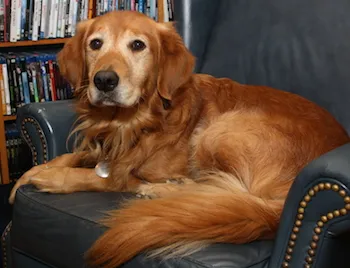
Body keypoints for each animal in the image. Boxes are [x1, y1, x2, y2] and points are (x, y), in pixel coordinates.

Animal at [8, 10, 350, 268]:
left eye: (138, 45)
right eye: (95, 43)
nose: (104, 80)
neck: (131, 122)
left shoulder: (125, 173)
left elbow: (106, 177)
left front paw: (52, 178)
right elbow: (71, 156)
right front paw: (30, 174)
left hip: (221, 130)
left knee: (225, 193)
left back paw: (162, 191)